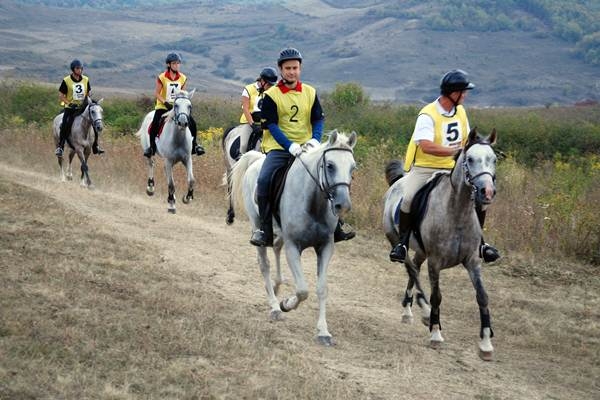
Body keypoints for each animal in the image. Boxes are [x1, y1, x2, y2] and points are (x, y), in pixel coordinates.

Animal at [227, 130, 354, 346]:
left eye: (353, 167)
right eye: (330, 165)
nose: (342, 205)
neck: (313, 202)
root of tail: (256, 159)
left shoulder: (325, 247)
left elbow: (322, 288)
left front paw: (323, 332)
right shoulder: (294, 246)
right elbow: (302, 290)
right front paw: (286, 304)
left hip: (279, 233)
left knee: (277, 248)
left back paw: (277, 285)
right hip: (257, 225)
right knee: (264, 263)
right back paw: (274, 306)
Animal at [384, 129, 496, 362]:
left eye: (494, 159)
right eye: (470, 159)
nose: (487, 192)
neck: (458, 212)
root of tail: (398, 182)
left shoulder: (472, 261)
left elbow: (482, 296)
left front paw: (486, 343)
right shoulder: (435, 262)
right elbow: (437, 296)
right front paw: (436, 333)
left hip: (420, 251)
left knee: (414, 268)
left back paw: (411, 309)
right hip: (395, 238)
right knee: (411, 269)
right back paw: (424, 312)